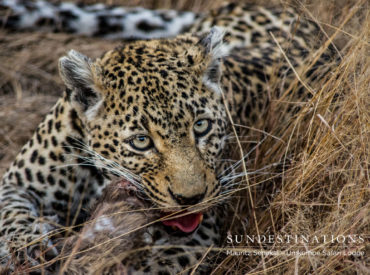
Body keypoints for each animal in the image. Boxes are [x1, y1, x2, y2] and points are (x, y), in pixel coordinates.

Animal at [0, 1, 336, 274]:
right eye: (141, 141)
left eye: (201, 126)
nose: (191, 200)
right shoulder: (18, 183)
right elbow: (13, 216)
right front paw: (31, 249)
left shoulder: (202, 230)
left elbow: (161, 263)